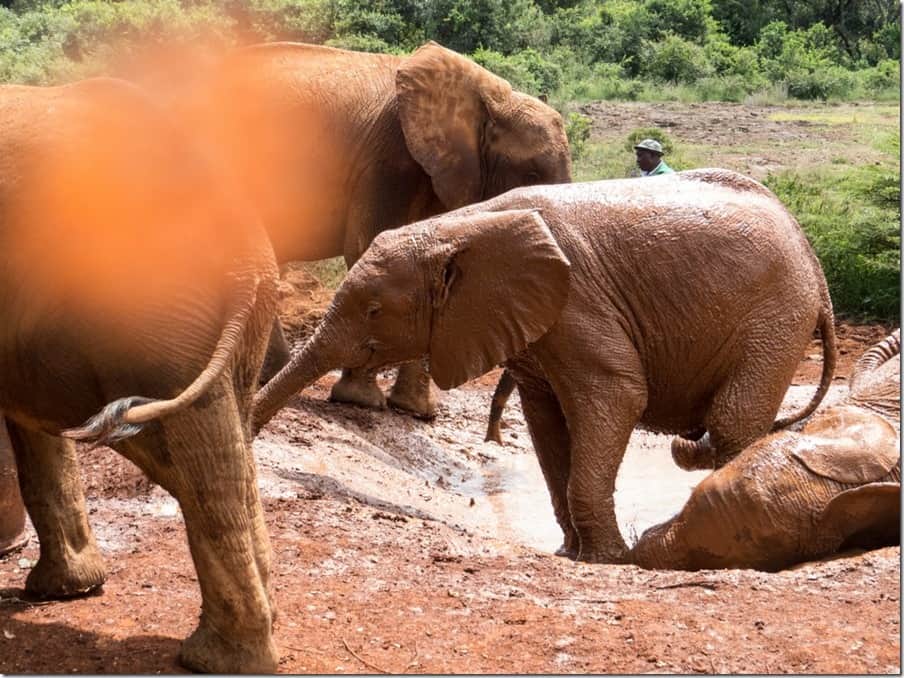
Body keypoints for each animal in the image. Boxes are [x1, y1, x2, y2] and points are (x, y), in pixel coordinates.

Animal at [179, 41, 568, 420]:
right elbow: (370, 243)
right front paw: (362, 401)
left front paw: (415, 411)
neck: (493, 96)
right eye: (532, 174)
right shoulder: (389, 157)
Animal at [252, 169, 840, 564]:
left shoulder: (578, 301)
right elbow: (546, 420)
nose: (255, 449)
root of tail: (816, 264)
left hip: (776, 316)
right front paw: (570, 554)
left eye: (374, 310)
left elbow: (617, 394)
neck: (462, 226)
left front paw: (609, 560)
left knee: (733, 422)